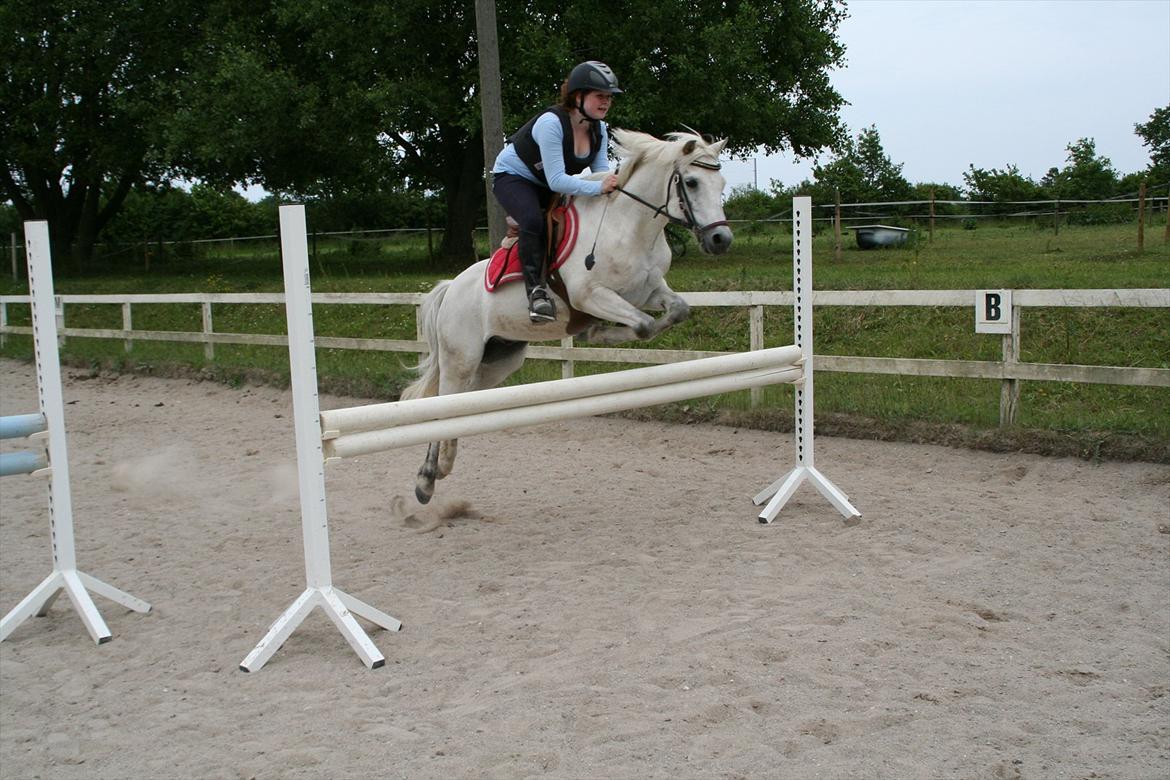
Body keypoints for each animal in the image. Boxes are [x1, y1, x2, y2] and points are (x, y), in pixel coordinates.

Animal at [401, 128, 733, 504]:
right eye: (691, 182)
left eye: (721, 183)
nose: (720, 239)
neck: (630, 228)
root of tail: (451, 287)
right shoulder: (590, 295)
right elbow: (643, 325)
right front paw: (596, 332)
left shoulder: (646, 292)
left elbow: (675, 311)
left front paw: (597, 332)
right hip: (462, 358)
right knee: (442, 403)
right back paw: (426, 479)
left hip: (497, 360)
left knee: (459, 406)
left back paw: (442, 465)